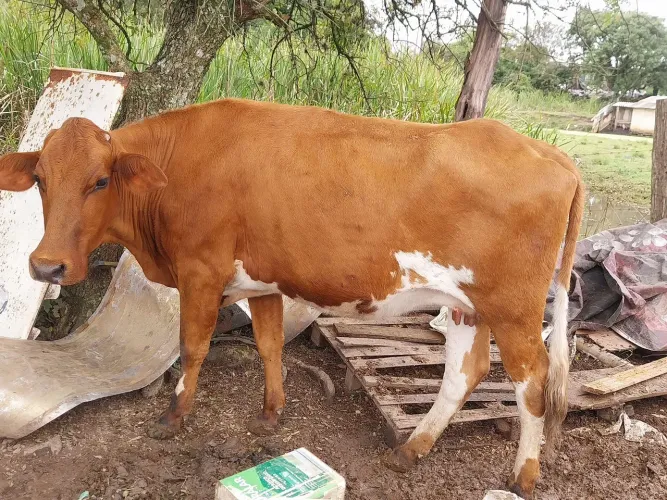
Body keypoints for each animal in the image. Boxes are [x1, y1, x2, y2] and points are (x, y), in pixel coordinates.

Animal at [0, 98, 583, 498]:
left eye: (100, 181)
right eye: (41, 179)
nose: (46, 266)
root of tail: (551, 152)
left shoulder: (201, 272)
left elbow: (192, 348)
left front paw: (173, 418)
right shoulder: (263, 283)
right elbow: (270, 345)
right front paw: (271, 414)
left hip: (514, 310)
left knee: (532, 383)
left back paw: (523, 476)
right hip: (466, 305)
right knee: (466, 371)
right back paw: (409, 450)